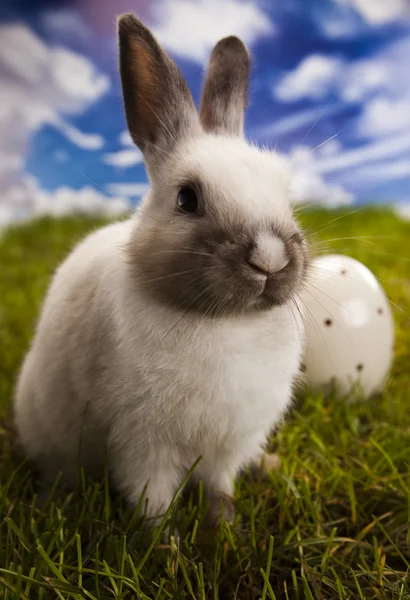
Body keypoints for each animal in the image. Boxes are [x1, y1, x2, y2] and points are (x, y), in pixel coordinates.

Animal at [12, 14, 308, 528]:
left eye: (285, 192)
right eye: (187, 199)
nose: (269, 260)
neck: (225, 323)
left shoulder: (227, 446)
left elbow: (219, 488)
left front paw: (225, 529)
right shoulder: (142, 444)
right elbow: (153, 503)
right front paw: (161, 542)